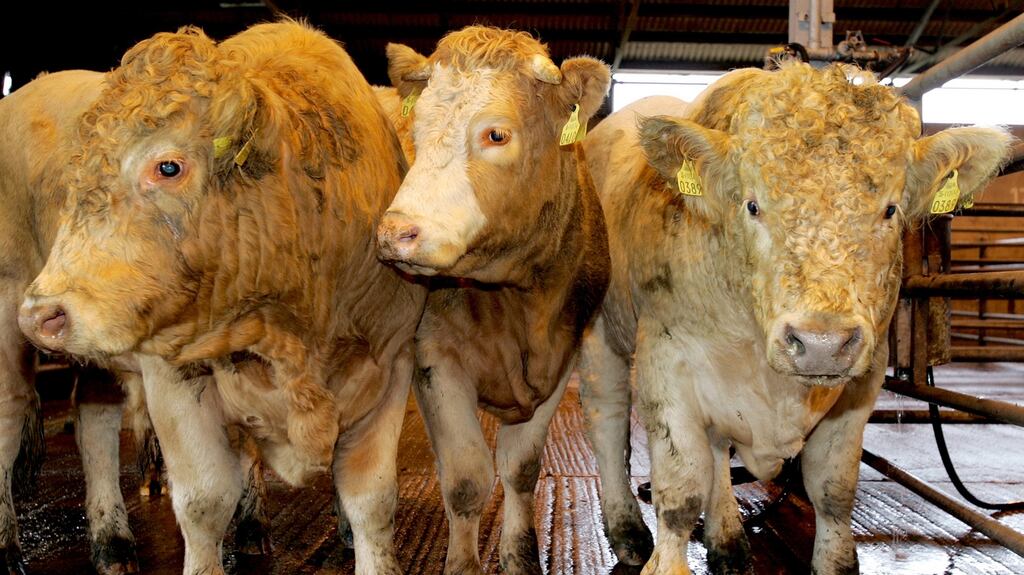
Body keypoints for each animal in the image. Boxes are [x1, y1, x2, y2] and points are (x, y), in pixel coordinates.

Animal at [17, 21, 424, 575]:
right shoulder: (171, 376)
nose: (43, 315)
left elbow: (372, 501)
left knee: (95, 415)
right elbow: (205, 502)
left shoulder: (391, 362)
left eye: (168, 167)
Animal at [377, 27, 611, 574]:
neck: (519, 303)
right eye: (416, 131)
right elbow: (467, 479)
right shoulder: (435, 360)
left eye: (496, 135)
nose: (396, 233)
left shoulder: (562, 361)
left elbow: (521, 470)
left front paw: (521, 557)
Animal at [578, 61, 1013, 574]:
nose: (821, 343)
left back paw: (728, 539)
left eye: (890, 209)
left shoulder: (862, 381)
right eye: (752, 205)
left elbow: (833, 488)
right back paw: (627, 530)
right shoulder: (666, 367)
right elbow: (681, 494)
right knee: (608, 420)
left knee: (717, 451)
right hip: (600, 333)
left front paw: (833, 560)